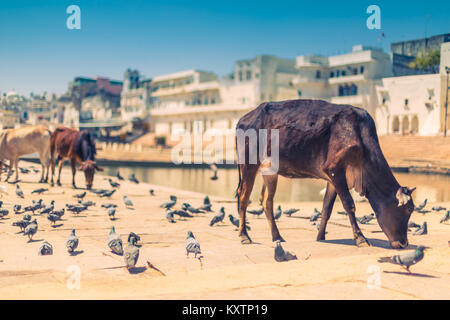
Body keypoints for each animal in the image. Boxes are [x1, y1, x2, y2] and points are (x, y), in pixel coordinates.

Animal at [236, 99, 414, 249]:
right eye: (408, 210)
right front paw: (361, 238)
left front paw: (320, 237)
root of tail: (244, 118)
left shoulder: (333, 178)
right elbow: (349, 204)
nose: (404, 243)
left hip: (270, 171)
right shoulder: (334, 169)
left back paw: (277, 236)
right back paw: (244, 236)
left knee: (267, 202)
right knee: (243, 197)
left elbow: (327, 208)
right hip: (248, 165)